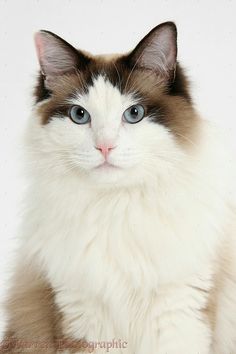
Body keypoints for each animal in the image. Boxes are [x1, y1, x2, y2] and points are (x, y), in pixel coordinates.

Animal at [0, 22, 236, 354]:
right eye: (79, 116)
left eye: (133, 114)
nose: (105, 147)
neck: (116, 208)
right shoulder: (82, 319)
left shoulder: (179, 311)